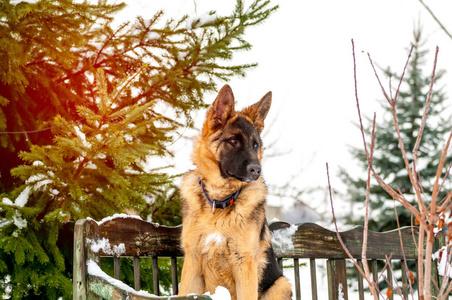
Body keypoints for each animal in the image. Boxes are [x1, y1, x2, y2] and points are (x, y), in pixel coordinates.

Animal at [178, 85, 292, 300]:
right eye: (233, 141)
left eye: (255, 145)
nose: (257, 170)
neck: (219, 201)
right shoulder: (193, 262)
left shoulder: (244, 266)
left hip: (281, 284)